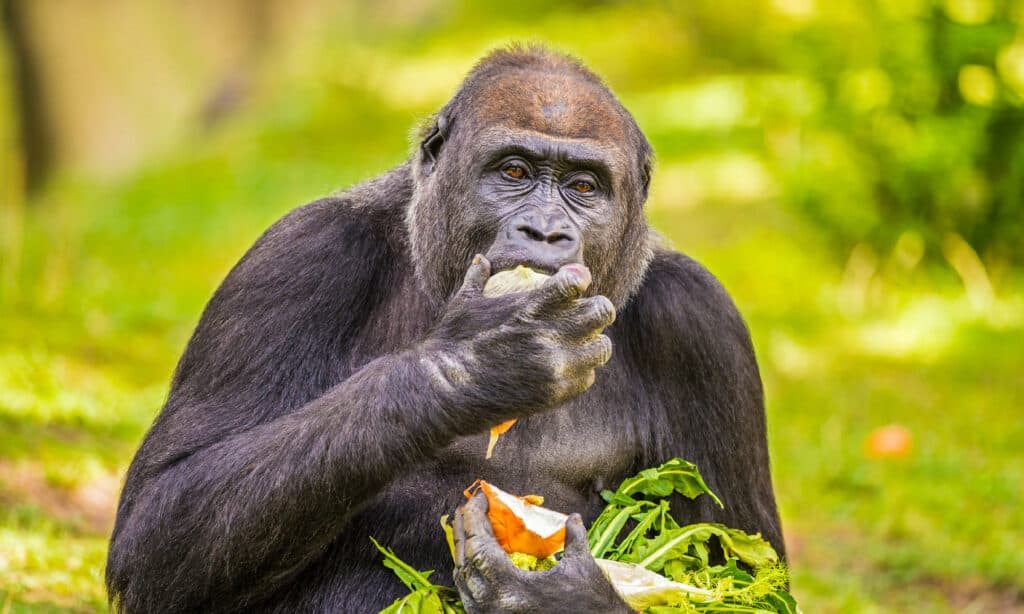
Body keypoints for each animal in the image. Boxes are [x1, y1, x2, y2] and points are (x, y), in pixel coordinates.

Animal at [105, 45, 782, 609]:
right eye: (514, 172)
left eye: (584, 186)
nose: (544, 232)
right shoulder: (299, 255)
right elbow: (158, 524)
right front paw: (479, 363)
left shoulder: (701, 322)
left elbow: (748, 568)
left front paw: (561, 594)